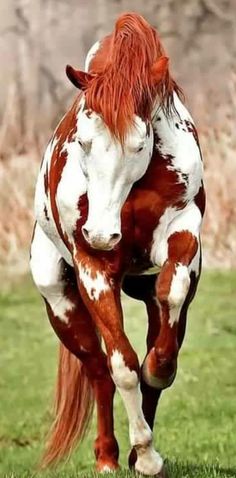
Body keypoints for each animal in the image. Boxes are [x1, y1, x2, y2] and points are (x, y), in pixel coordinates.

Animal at [30, 11, 205, 478]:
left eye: (140, 143)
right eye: (83, 142)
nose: (102, 233)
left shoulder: (183, 232)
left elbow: (169, 300)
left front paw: (157, 373)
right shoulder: (94, 268)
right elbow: (122, 366)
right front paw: (145, 455)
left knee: (161, 331)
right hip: (62, 303)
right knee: (98, 370)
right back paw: (108, 457)